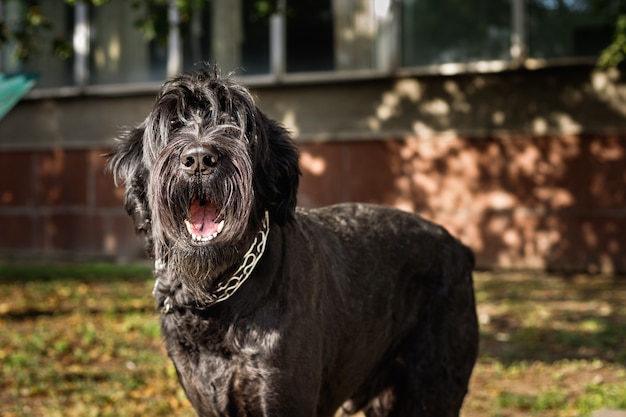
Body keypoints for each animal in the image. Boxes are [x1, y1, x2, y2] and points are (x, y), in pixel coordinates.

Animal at [108, 68, 478, 416]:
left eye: (236, 125)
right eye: (173, 124)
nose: (199, 158)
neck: (216, 303)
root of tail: (459, 246)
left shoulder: (280, 394)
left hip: (433, 390)